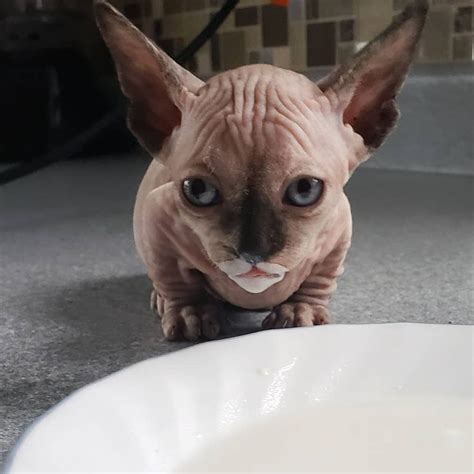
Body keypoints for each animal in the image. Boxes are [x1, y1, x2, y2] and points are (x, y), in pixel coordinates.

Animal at [95, 0, 430, 340]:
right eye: (198, 190)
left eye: (305, 189)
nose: (252, 254)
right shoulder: (157, 213)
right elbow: (172, 276)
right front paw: (193, 312)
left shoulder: (339, 225)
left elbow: (322, 278)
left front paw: (300, 309)